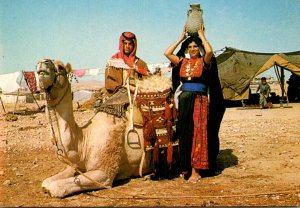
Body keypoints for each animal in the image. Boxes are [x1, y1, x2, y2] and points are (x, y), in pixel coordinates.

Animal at [36, 59, 173, 198]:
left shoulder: (104, 174)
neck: (84, 142)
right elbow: (46, 182)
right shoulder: (77, 166)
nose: (43, 62)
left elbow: (54, 187)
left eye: (60, 67)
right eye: (37, 64)